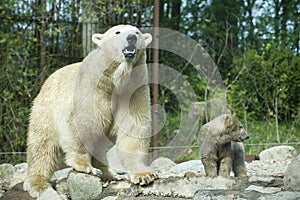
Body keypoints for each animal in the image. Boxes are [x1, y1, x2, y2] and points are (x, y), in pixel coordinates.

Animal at [24, 24, 157, 197]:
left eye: (137, 32)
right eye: (117, 32)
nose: (131, 38)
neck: (115, 79)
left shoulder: (133, 89)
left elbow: (134, 126)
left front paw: (143, 175)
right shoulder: (90, 87)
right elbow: (81, 122)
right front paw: (85, 166)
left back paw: (110, 173)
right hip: (46, 109)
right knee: (42, 146)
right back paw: (38, 183)